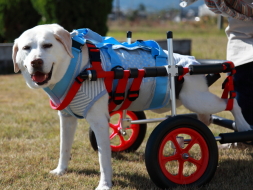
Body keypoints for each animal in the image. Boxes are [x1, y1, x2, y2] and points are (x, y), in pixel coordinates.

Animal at [11, 24, 251, 190]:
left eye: (47, 45)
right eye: (26, 48)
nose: (35, 62)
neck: (77, 67)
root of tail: (195, 64)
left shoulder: (98, 121)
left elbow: (103, 158)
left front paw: (104, 184)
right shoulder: (67, 118)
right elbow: (64, 148)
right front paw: (61, 170)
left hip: (196, 98)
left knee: (231, 102)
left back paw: (242, 126)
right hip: (196, 100)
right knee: (207, 117)